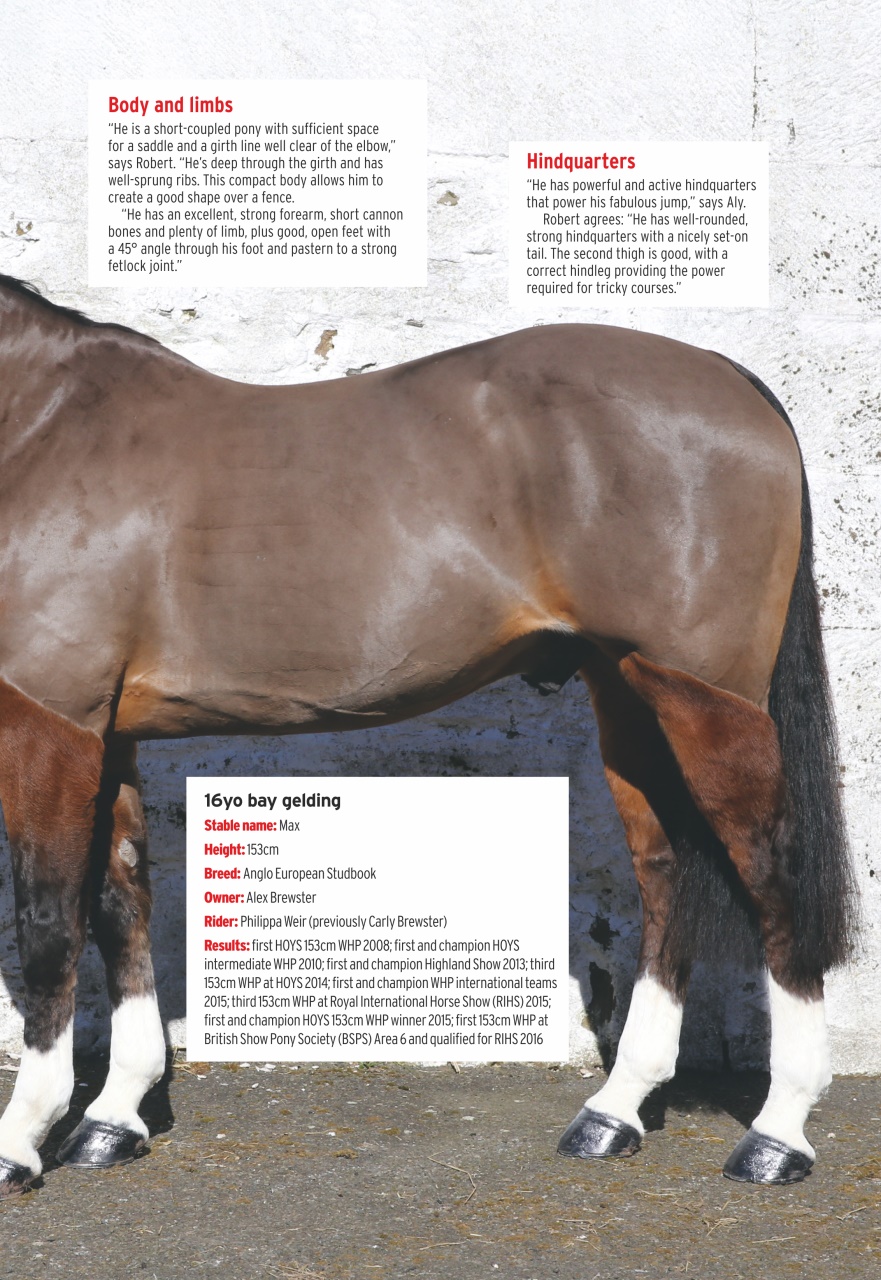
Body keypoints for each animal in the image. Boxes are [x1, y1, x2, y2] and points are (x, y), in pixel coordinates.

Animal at [0, 273, 855, 1195]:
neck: (41, 426)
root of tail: (729, 377)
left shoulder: (48, 726)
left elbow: (47, 926)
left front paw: (21, 1139)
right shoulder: (102, 730)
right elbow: (119, 903)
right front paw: (113, 1119)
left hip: (702, 698)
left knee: (773, 876)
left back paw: (776, 1135)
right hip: (627, 694)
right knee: (666, 872)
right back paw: (613, 1112)